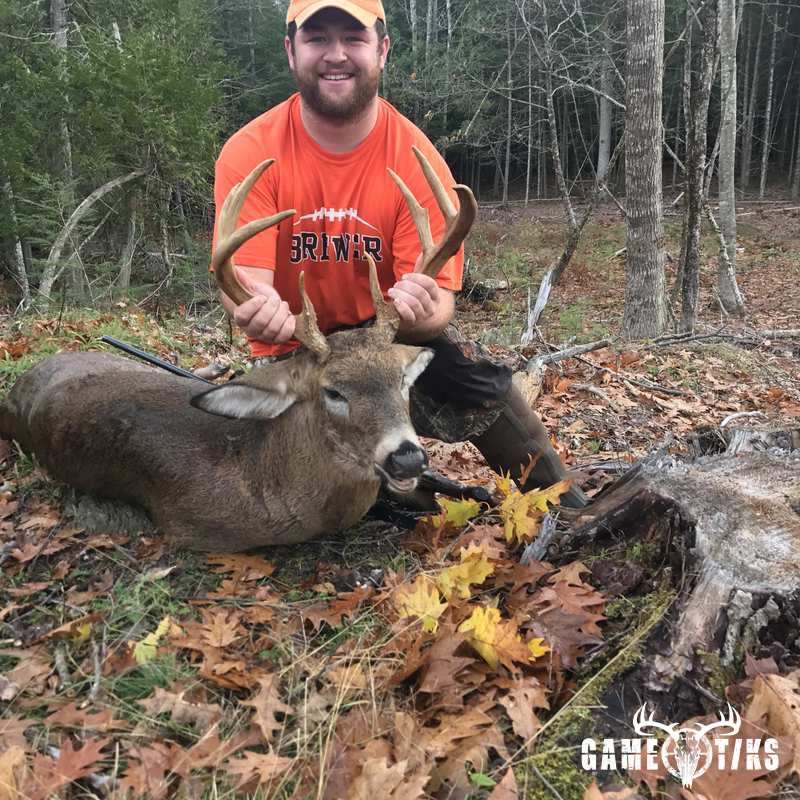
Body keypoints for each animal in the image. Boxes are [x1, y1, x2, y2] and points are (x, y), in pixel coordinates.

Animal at [0, 150, 476, 552]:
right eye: (333, 392)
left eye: (401, 382)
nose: (408, 457)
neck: (262, 469)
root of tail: (22, 383)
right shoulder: (190, 527)